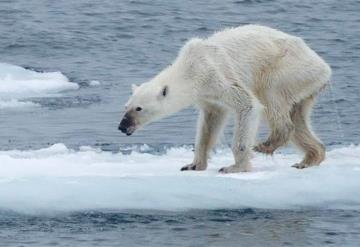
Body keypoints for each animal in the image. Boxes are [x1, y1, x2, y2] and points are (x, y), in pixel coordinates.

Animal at [119, 24, 332, 173]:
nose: (122, 126)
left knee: (271, 97)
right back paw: (308, 159)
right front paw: (193, 165)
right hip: (304, 84)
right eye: (126, 106)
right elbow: (210, 123)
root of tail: (324, 67)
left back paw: (265, 145)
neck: (190, 68)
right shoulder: (207, 96)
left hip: (287, 69)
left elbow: (248, 105)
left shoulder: (216, 76)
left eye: (139, 108)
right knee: (298, 118)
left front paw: (234, 167)